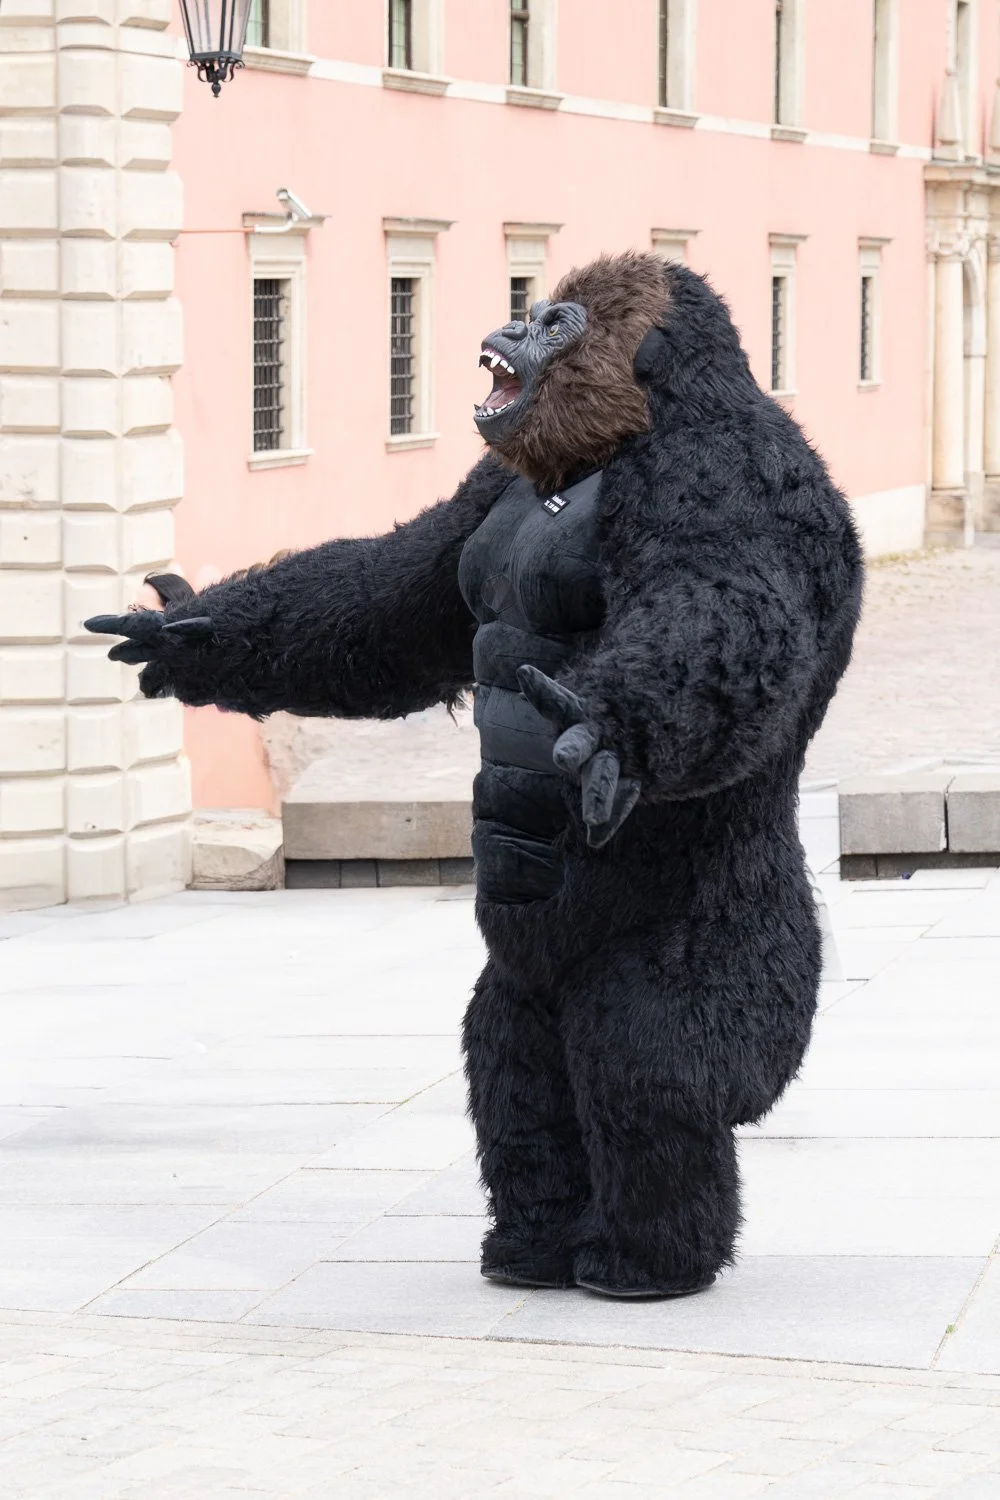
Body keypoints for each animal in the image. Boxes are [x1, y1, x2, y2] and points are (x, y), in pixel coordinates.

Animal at [86, 252, 863, 1299]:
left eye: (559, 321)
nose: (512, 324)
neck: (617, 438)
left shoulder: (726, 476)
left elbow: (726, 601)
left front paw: (606, 730)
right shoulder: (484, 487)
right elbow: (391, 607)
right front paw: (188, 632)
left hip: (728, 932)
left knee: (648, 1057)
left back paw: (644, 1261)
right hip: (523, 977)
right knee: (515, 1057)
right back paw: (533, 1245)